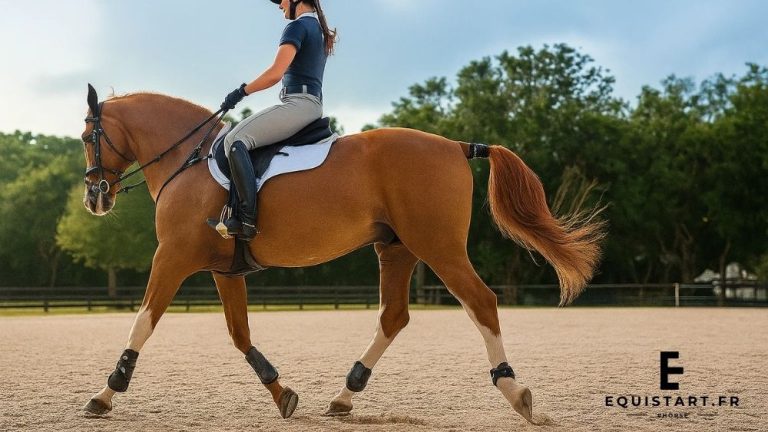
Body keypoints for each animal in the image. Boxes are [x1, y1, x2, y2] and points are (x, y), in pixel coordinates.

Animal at [79, 85, 604, 423]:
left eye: (87, 137)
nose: (95, 198)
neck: (187, 160)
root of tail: (455, 145)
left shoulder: (171, 257)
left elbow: (143, 322)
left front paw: (105, 394)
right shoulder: (225, 271)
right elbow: (240, 335)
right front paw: (283, 394)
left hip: (438, 246)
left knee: (481, 302)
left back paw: (515, 392)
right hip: (397, 249)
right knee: (393, 316)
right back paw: (344, 396)